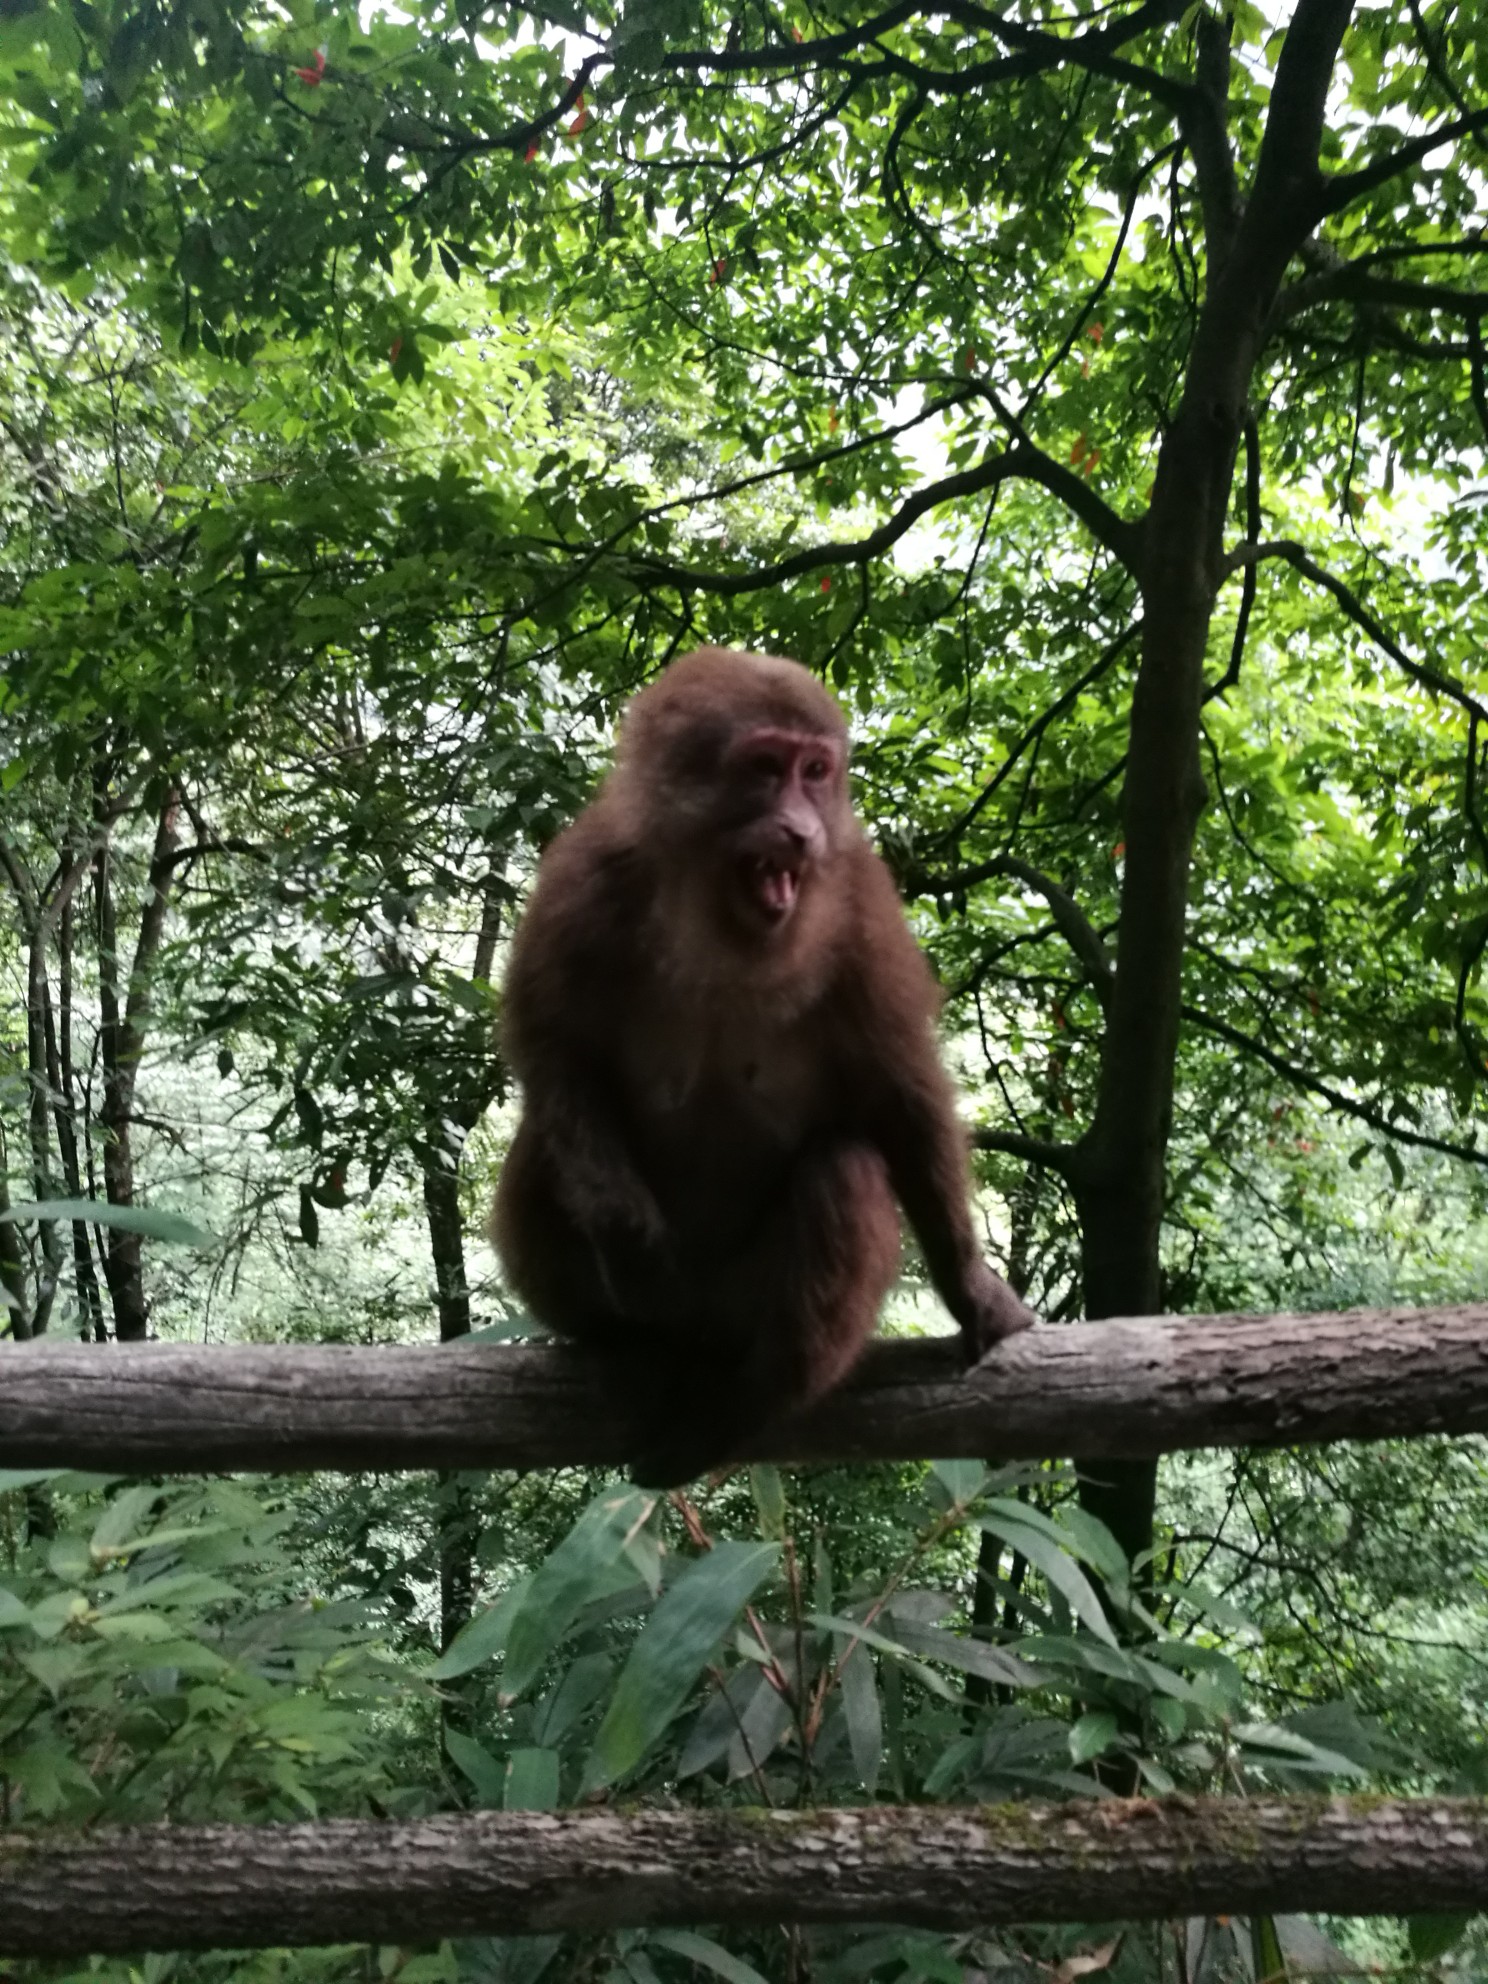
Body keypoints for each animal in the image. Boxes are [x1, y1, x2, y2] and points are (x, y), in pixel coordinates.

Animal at [492, 642, 1039, 1484]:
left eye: (815, 772)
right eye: (764, 767)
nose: (800, 831)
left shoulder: (861, 903)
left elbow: (898, 1097)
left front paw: (972, 1287)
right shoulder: (581, 879)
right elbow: (558, 1054)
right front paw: (629, 1240)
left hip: (738, 1308)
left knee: (845, 1170)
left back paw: (743, 1404)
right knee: (548, 1155)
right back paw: (628, 1344)